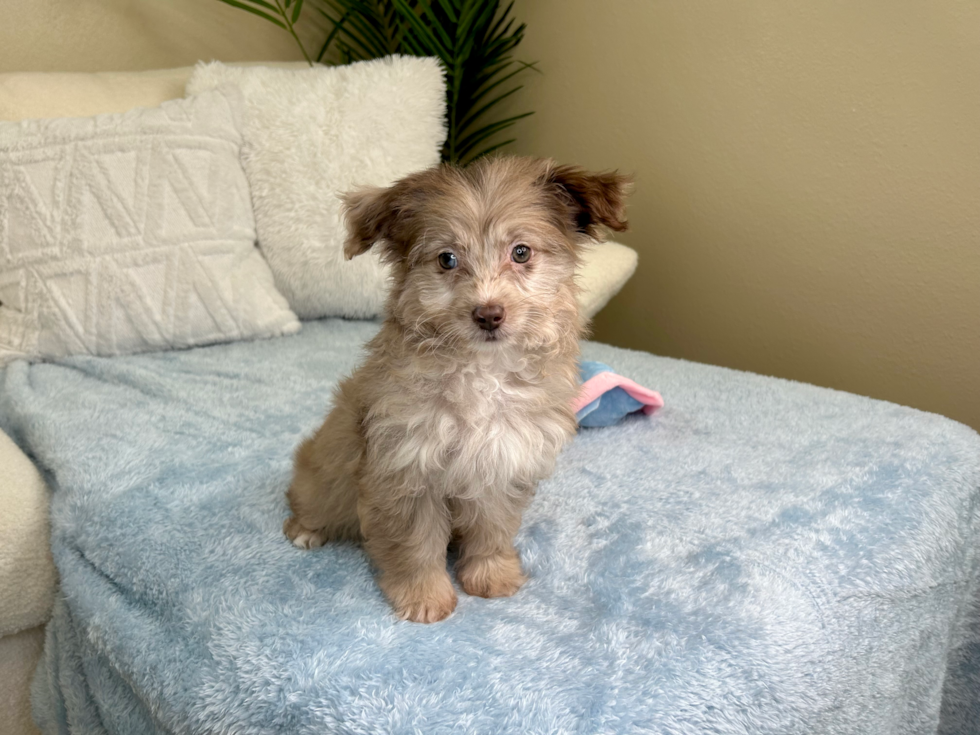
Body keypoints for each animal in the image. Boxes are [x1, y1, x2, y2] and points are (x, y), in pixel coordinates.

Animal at [288, 158, 632, 624]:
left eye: (521, 252)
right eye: (447, 259)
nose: (488, 314)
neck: (482, 373)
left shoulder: (504, 460)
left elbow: (492, 529)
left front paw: (491, 575)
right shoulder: (407, 469)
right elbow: (415, 544)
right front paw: (424, 596)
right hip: (322, 478)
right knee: (305, 498)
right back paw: (304, 530)